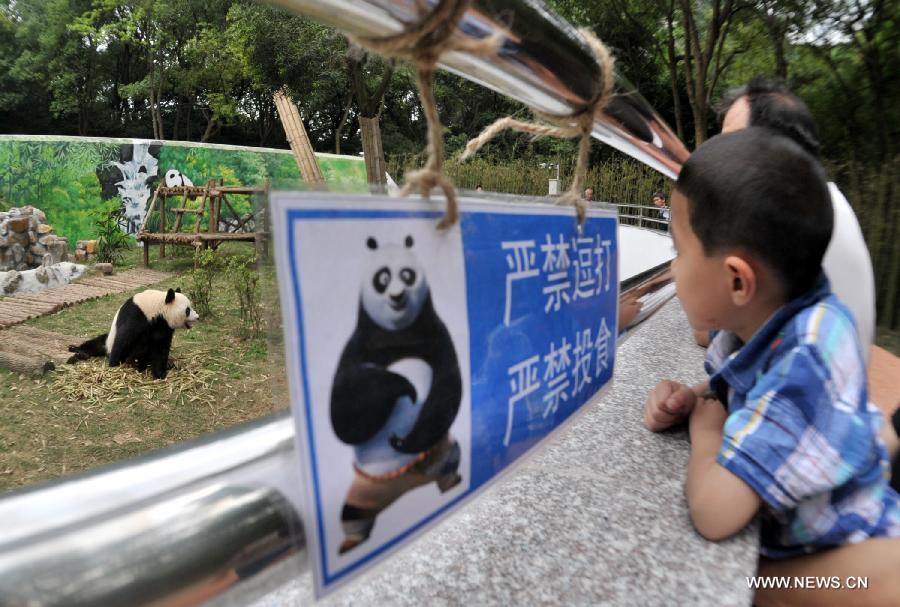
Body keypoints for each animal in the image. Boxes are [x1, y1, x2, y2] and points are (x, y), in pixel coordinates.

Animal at [71, 288, 200, 378]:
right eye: (188, 310)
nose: (197, 317)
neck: (156, 307)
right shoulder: (136, 315)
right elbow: (124, 339)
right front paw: (114, 364)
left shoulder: (163, 326)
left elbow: (160, 347)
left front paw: (159, 373)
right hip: (108, 341)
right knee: (96, 344)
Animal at [330, 234, 460, 556]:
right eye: (383, 278)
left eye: (407, 274)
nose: (398, 296)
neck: (399, 331)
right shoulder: (358, 346)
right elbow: (345, 414)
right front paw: (403, 384)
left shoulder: (436, 336)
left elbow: (447, 390)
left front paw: (404, 440)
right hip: (363, 493)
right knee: (351, 514)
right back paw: (351, 542)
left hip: (443, 452)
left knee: (452, 457)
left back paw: (452, 480)